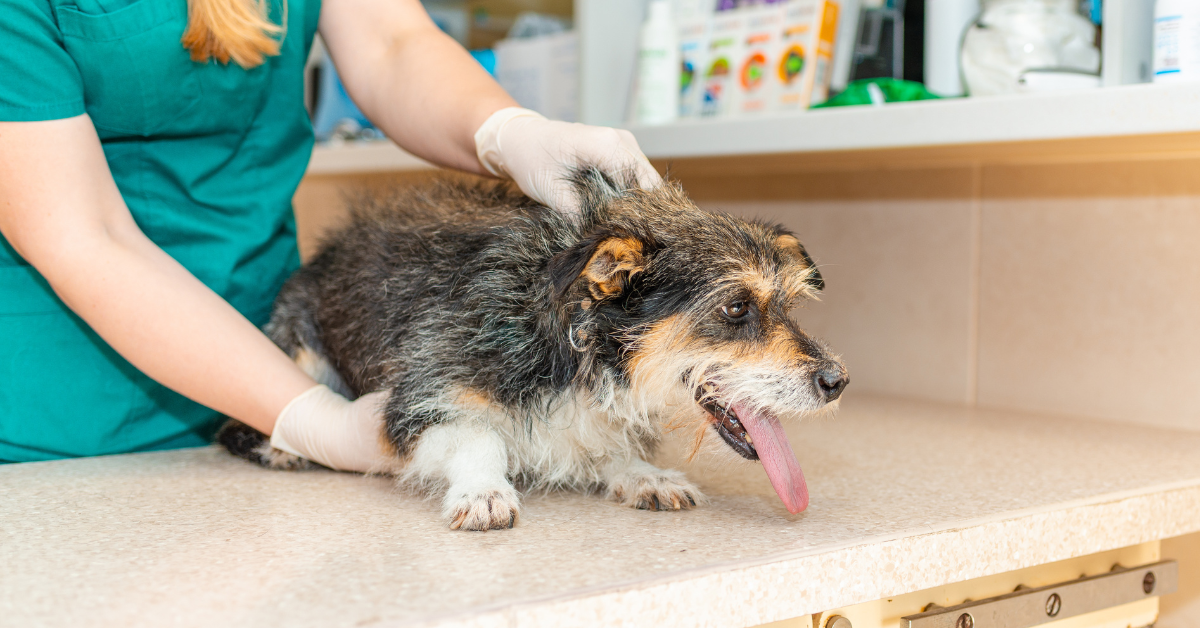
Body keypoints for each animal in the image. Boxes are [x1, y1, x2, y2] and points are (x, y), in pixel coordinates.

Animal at [223, 168, 844, 530]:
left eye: (788, 305)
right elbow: (476, 434)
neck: (576, 344)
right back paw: (281, 447)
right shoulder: (424, 389)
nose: (838, 381)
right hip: (296, 346)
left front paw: (641, 472)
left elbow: (609, 443)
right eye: (736, 308)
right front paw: (483, 489)